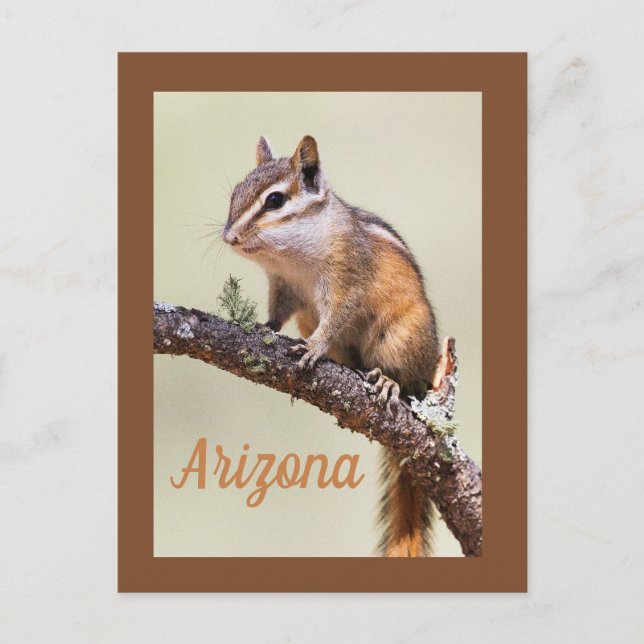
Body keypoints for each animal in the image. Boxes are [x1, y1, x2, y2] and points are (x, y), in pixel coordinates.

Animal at [222, 135, 440, 556]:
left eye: (275, 201)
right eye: (235, 193)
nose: (229, 238)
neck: (291, 258)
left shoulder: (345, 279)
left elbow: (335, 319)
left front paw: (312, 348)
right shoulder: (283, 286)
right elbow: (278, 312)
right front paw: (264, 327)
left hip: (404, 339)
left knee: (408, 385)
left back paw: (389, 382)